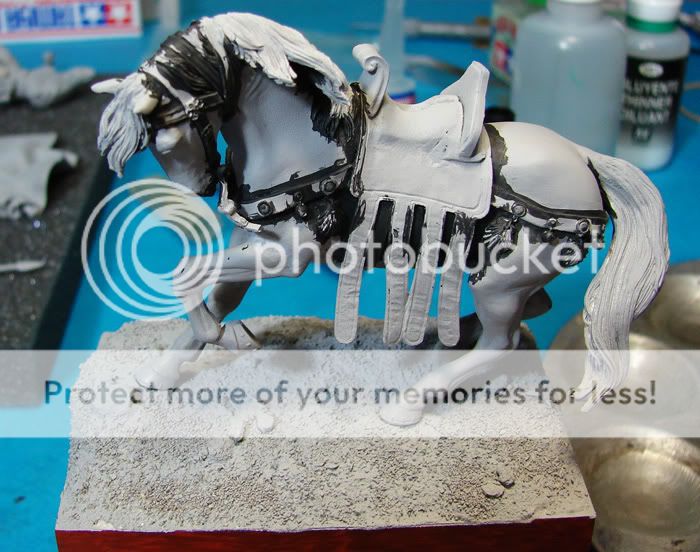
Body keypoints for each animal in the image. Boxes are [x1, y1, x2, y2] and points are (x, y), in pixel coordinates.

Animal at [93, 12, 668, 426]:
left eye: (170, 131)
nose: (201, 184)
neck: (306, 136)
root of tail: (586, 159)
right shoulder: (254, 242)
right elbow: (211, 296)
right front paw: (159, 375)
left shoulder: (287, 256)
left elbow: (185, 271)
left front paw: (226, 338)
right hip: (501, 276)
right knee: (531, 310)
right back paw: (447, 339)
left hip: (502, 280)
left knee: (503, 341)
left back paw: (413, 399)